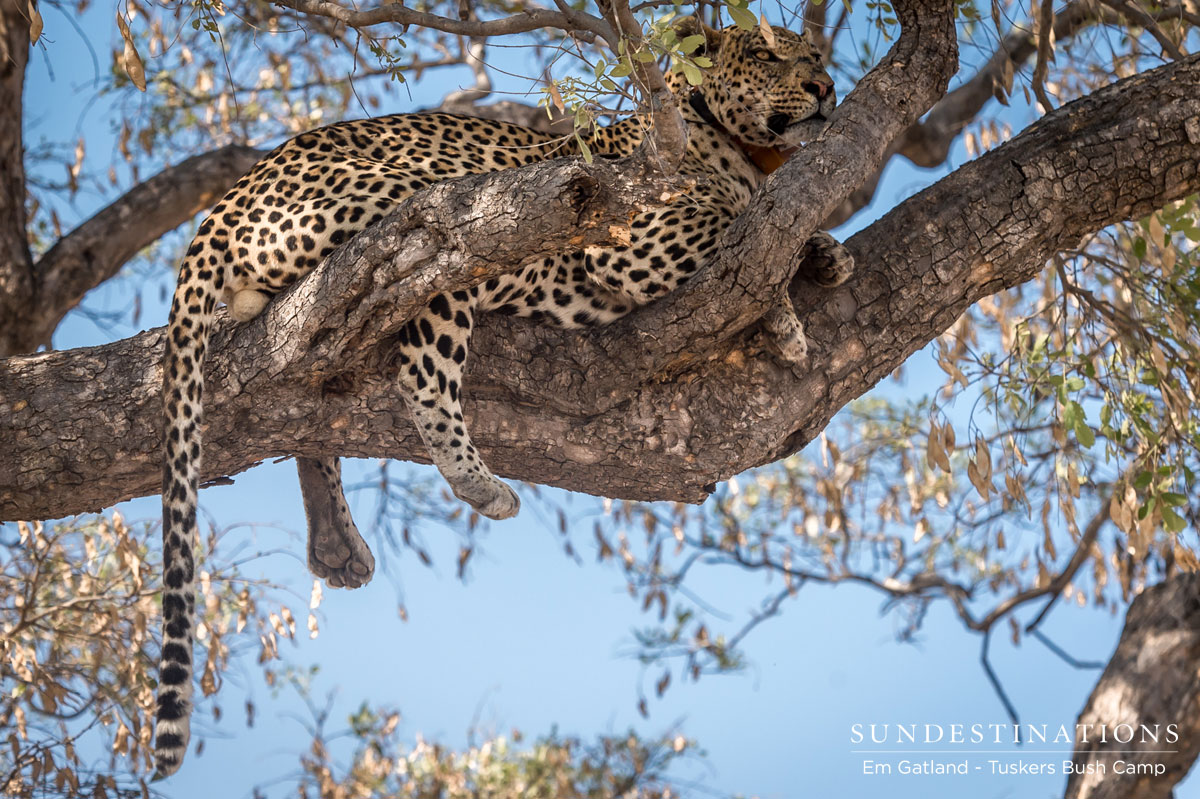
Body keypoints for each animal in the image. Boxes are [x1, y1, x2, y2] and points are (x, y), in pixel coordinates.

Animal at [154, 17, 853, 777]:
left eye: (815, 54)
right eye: (765, 54)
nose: (825, 86)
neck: (748, 158)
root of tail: (226, 201)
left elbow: (771, 230)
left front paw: (826, 252)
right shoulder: (632, 236)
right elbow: (729, 235)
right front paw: (785, 317)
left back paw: (337, 543)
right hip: (439, 212)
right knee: (419, 368)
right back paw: (478, 482)